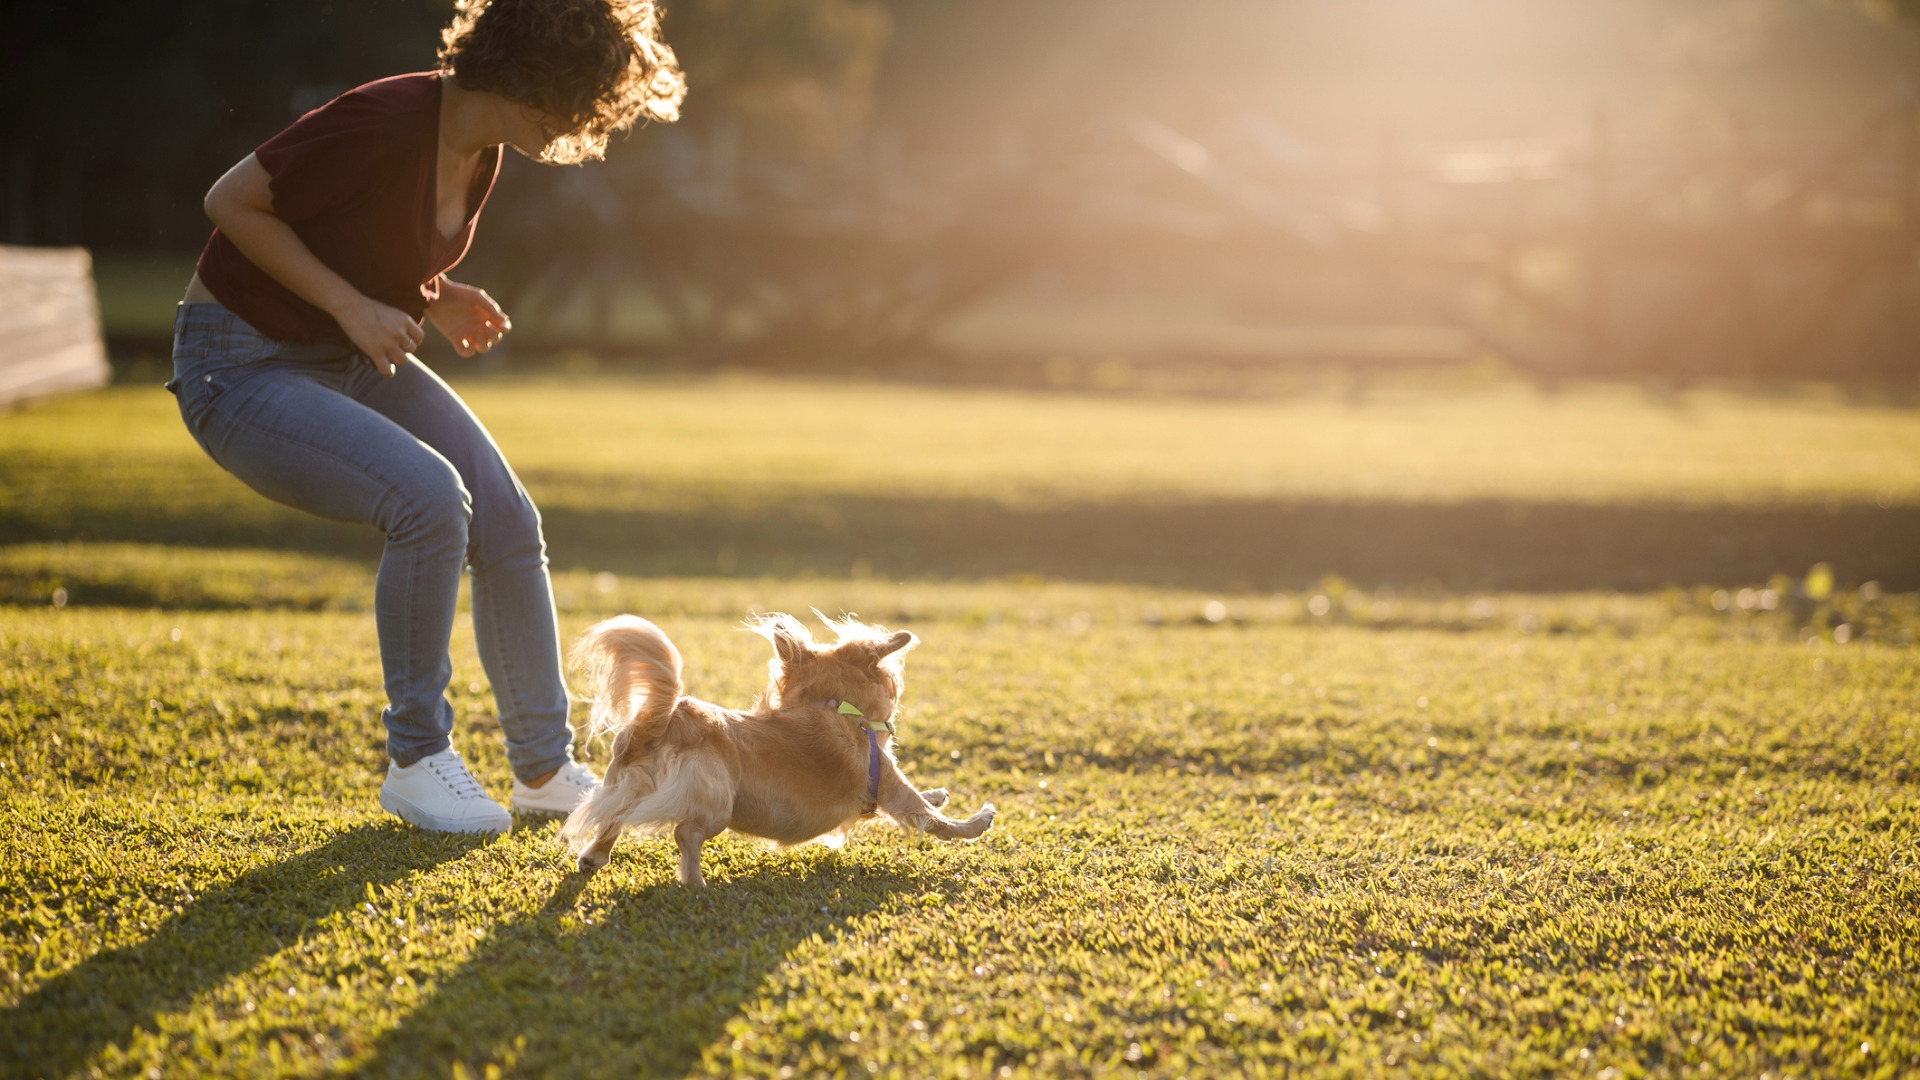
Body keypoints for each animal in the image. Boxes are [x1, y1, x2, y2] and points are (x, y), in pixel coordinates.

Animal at [560, 611, 998, 880]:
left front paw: (939, 792)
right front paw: (976, 821)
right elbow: (931, 818)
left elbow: (925, 802)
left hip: (626, 786)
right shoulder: (888, 784)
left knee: (613, 818)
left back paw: (594, 856)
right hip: (717, 804)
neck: (838, 708)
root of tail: (664, 720)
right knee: (685, 834)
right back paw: (695, 884)